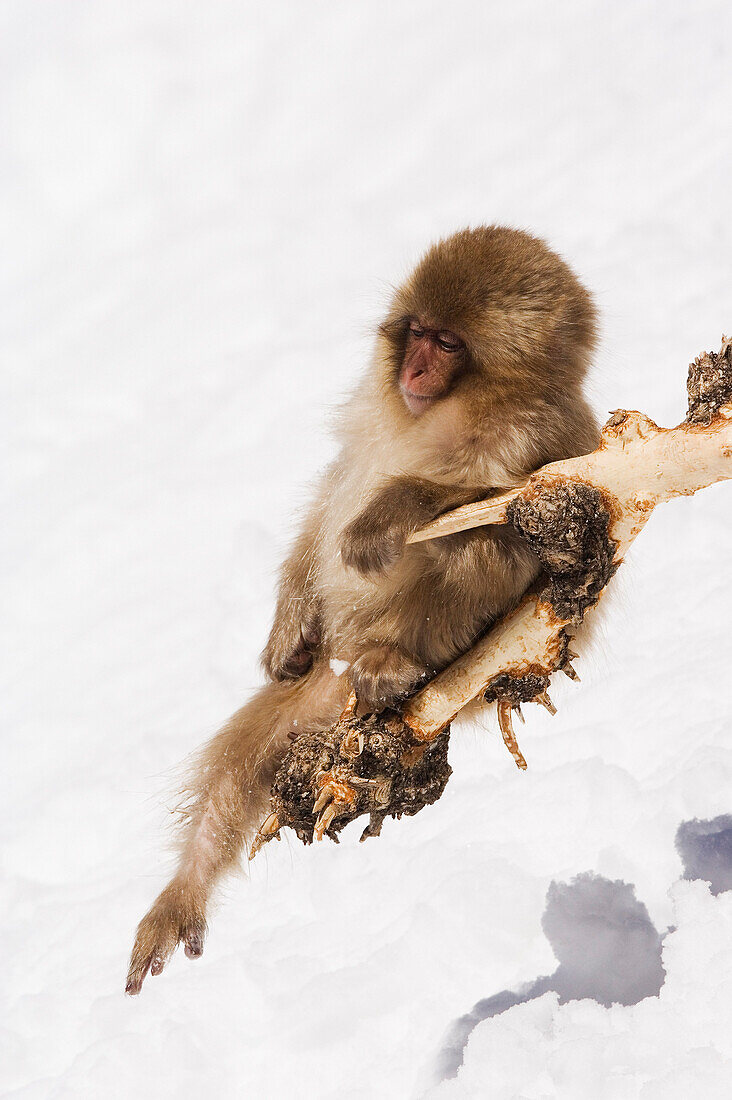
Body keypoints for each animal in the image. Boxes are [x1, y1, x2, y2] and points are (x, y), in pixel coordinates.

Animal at [125, 227, 598, 994]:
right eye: (418, 332)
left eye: (449, 343)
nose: (414, 366)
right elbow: (333, 492)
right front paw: (287, 621)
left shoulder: (538, 431)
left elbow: (513, 506)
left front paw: (389, 512)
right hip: (320, 690)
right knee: (246, 756)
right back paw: (183, 891)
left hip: (486, 664)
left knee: (489, 540)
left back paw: (400, 660)